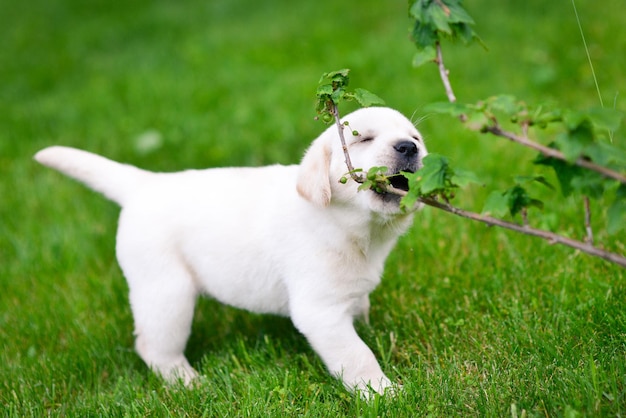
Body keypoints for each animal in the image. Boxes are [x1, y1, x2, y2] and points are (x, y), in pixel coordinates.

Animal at [34, 106, 424, 396]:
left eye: (416, 137)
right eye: (364, 138)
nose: (409, 147)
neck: (357, 228)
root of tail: (144, 185)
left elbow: (361, 311)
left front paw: (373, 333)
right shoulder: (320, 311)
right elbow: (357, 355)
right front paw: (383, 392)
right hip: (166, 293)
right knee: (154, 347)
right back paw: (189, 384)